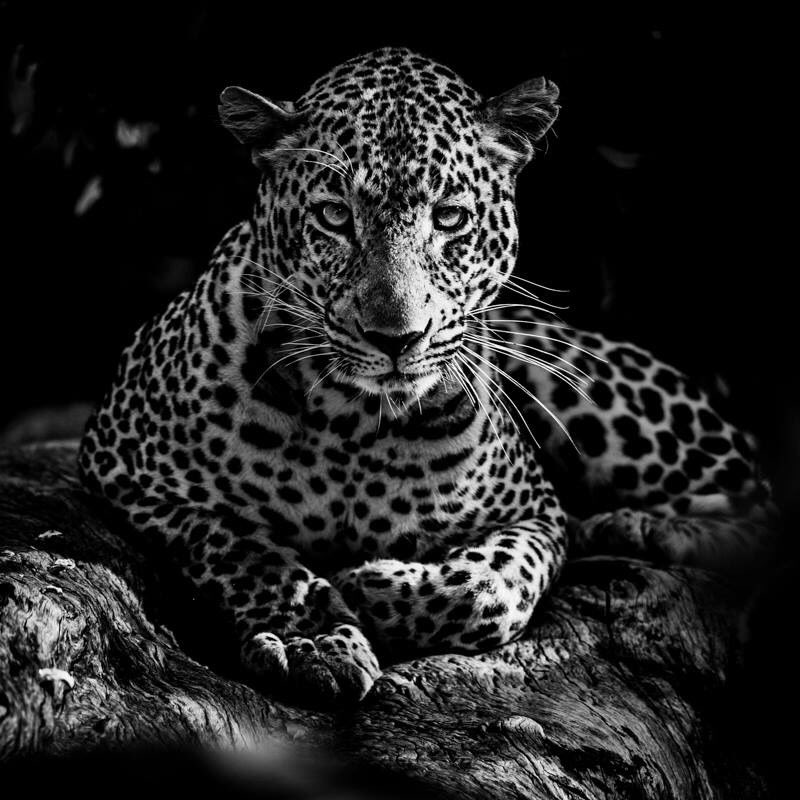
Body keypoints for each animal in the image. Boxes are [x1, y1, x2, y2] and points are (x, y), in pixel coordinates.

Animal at [78, 47, 773, 705]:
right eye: (335, 216)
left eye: (448, 218)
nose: (396, 338)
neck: (351, 420)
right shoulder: (124, 465)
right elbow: (239, 547)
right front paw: (312, 640)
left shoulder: (535, 512)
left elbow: (492, 584)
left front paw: (367, 585)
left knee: (756, 501)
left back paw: (635, 525)